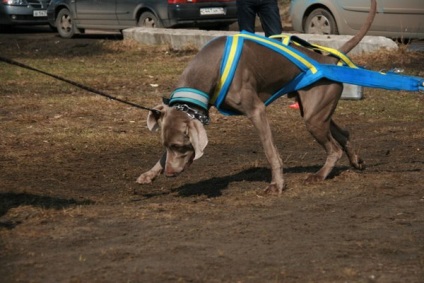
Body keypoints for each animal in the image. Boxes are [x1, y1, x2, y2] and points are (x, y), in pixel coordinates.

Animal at [137, 0, 376, 195]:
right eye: (167, 145)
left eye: (180, 146)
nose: (169, 174)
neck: (212, 67)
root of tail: (328, 59)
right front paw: (149, 173)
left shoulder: (257, 111)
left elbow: (270, 151)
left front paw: (277, 184)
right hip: (315, 110)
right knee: (343, 133)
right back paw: (356, 161)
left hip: (314, 117)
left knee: (334, 148)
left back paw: (319, 175)